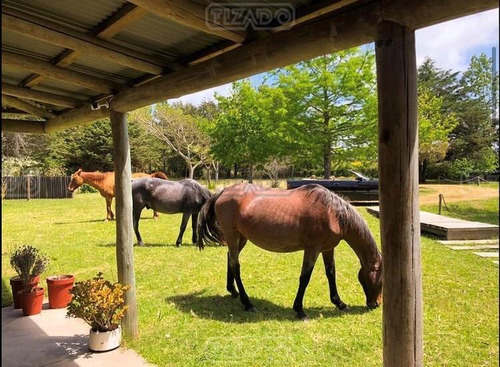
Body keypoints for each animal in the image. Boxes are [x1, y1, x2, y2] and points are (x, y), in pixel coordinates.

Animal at [196, 184, 382, 322]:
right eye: (381, 279)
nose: (376, 304)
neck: (332, 213)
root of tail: (222, 192)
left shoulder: (328, 248)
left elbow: (331, 274)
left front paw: (339, 302)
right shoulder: (312, 249)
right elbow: (305, 278)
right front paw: (300, 311)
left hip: (240, 238)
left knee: (230, 259)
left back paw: (233, 291)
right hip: (233, 235)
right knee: (236, 265)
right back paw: (247, 303)